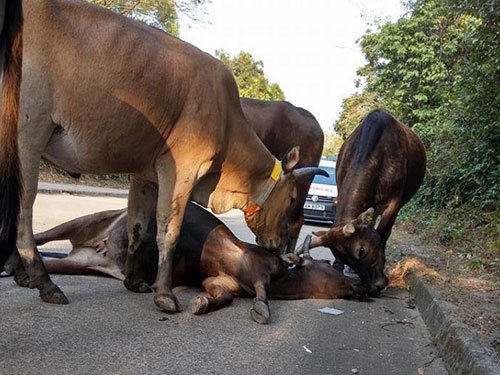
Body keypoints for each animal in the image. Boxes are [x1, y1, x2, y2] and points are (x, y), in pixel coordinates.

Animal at [7, 204, 366, 324]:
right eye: (331, 265)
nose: (361, 286)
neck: (285, 282)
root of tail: (99, 246)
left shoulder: (220, 282)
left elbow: (222, 297)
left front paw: (202, 303)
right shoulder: (258, 269)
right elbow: (261, 294)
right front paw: (261, 311)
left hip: (82, 262)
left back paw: (27, 277)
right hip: (88, 220)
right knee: (38, 236)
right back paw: (14, 264)